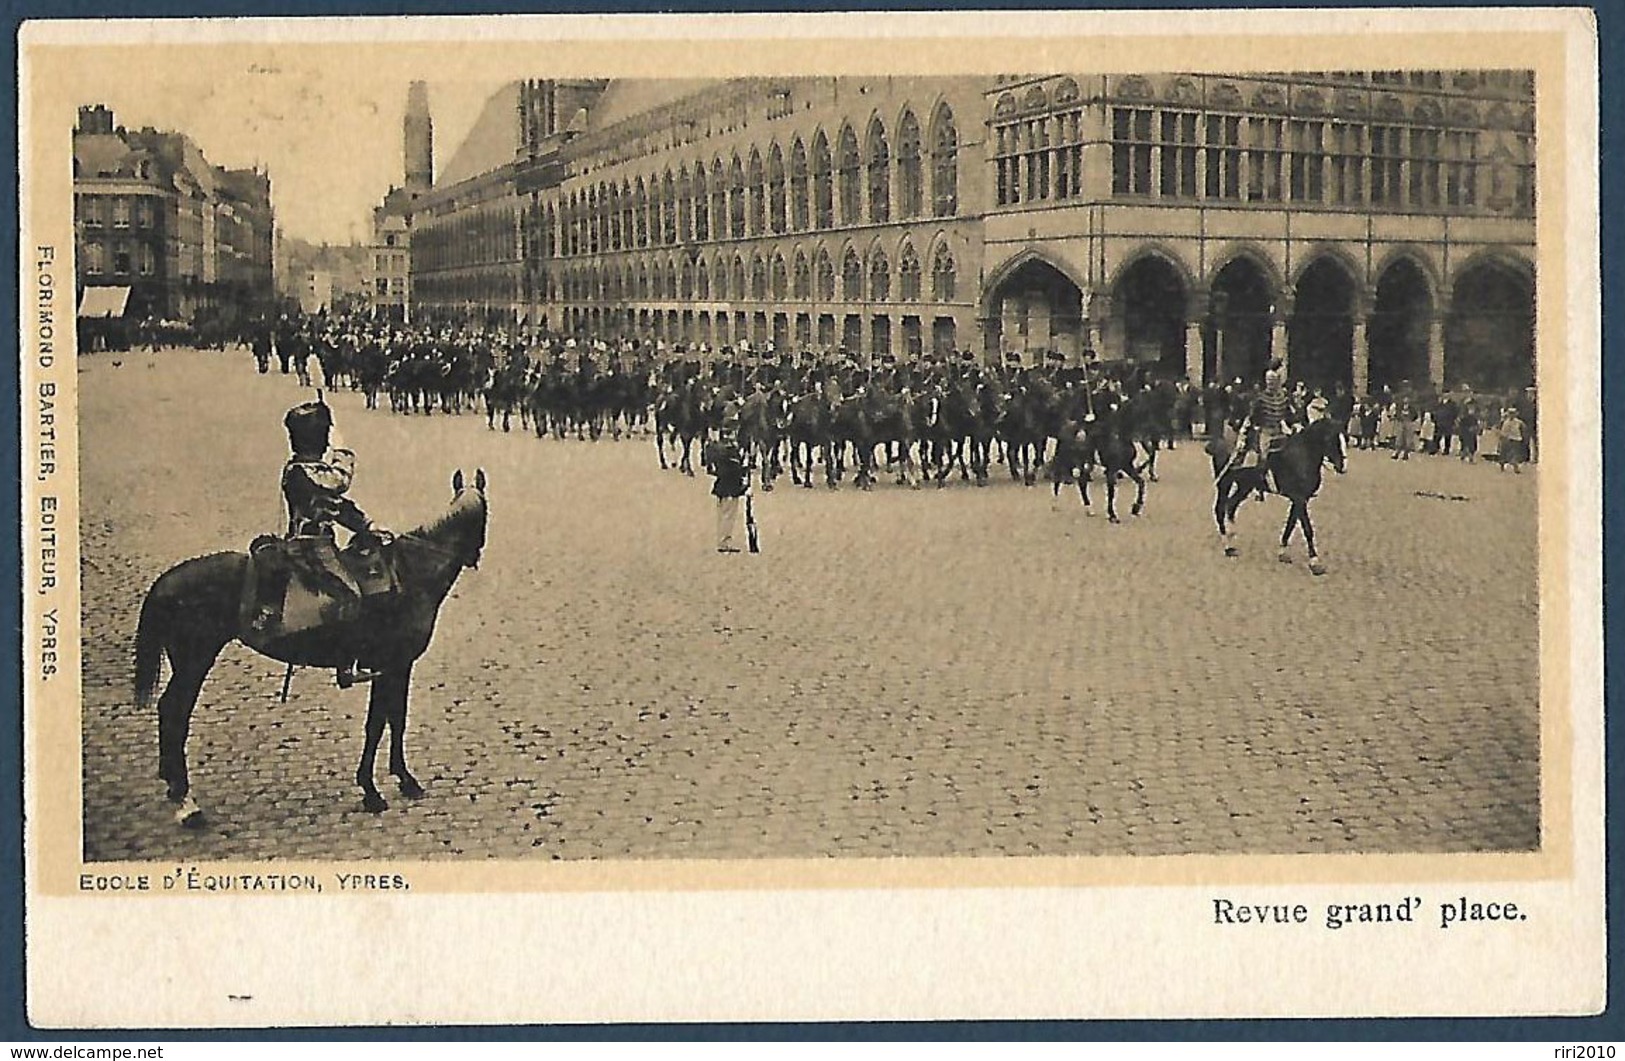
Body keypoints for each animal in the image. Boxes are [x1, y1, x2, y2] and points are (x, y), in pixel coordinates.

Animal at [134, 467, 487, 822]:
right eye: (485, 515)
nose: (474, 557)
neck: (410, 573)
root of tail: (167, 580)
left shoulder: (394, 667)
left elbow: (393, 721)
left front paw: (398, 779)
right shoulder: (392, 665)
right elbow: (380, 724)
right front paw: (375, 789)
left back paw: (174, 788)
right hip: (195, 660)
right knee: (175, 712)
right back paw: (185, 800)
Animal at [1215, 419, 1352, 575]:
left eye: (1345, 438)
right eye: (1329, 439)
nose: (1342, 467)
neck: (1303, 455)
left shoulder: (1299, 500)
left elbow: (1290, 525)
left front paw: (1283, 553)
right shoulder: (1299, 499)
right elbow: (1307, 529)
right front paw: (1315, 562)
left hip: (1245, 486)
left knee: (1231, 506)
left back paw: (1232, 536)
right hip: (1224, 484)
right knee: (1220, 510)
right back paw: (1227, 547)